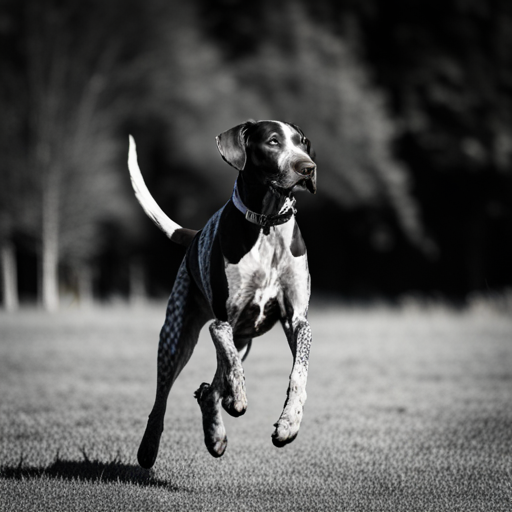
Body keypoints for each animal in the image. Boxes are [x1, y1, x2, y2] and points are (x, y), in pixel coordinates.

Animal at [128, 121, 316, 468]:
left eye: (302, 143)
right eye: (273, 142)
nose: (308, 168)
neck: (267, 224)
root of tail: (194, 235)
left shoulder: (298, 322)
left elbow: (299, 373)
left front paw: (289, 423)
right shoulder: (222, 323)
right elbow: (234, 369)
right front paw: (239, 397)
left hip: (243, 340)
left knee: (208, 389)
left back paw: (215, 433)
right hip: (176, 339)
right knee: (164, 397)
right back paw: (149, 447)